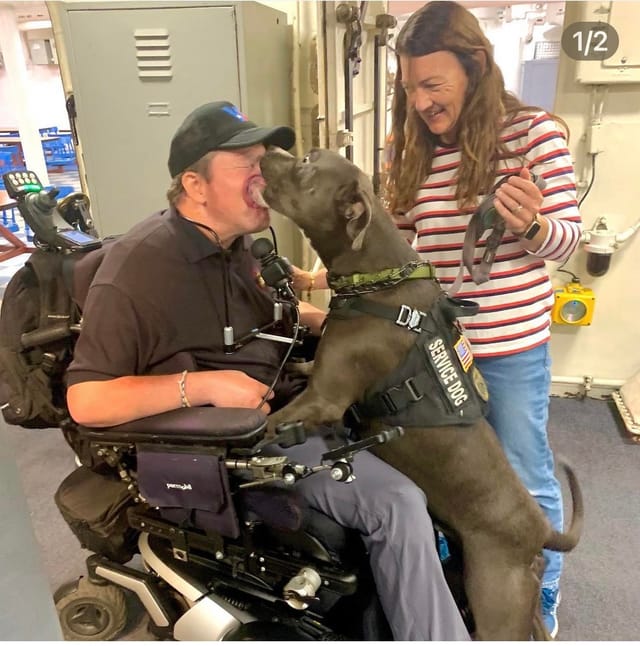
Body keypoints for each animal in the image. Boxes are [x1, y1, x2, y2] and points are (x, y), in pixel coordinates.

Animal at [262, 148, 584, 644]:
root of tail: (539, 530)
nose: (266, 152)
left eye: (307, 165)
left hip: (497, 601)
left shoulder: (324, 399)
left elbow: (269, 424)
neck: (378, 278)